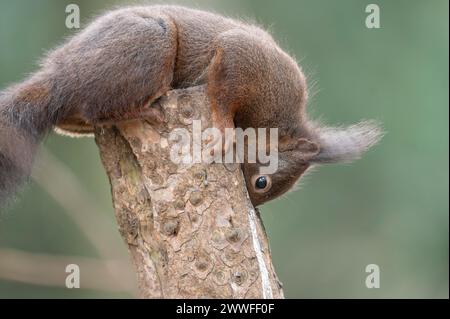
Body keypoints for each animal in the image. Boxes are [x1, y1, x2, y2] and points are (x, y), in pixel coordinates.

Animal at [0, 6, 384, 209]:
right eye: (261, 182)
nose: (252, 204)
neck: (274, 121)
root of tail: (59, 79)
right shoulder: (246, 63)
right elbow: (223, 92)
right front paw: (225, 132)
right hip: (151, 43)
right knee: (99, 108)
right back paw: (145, 110)